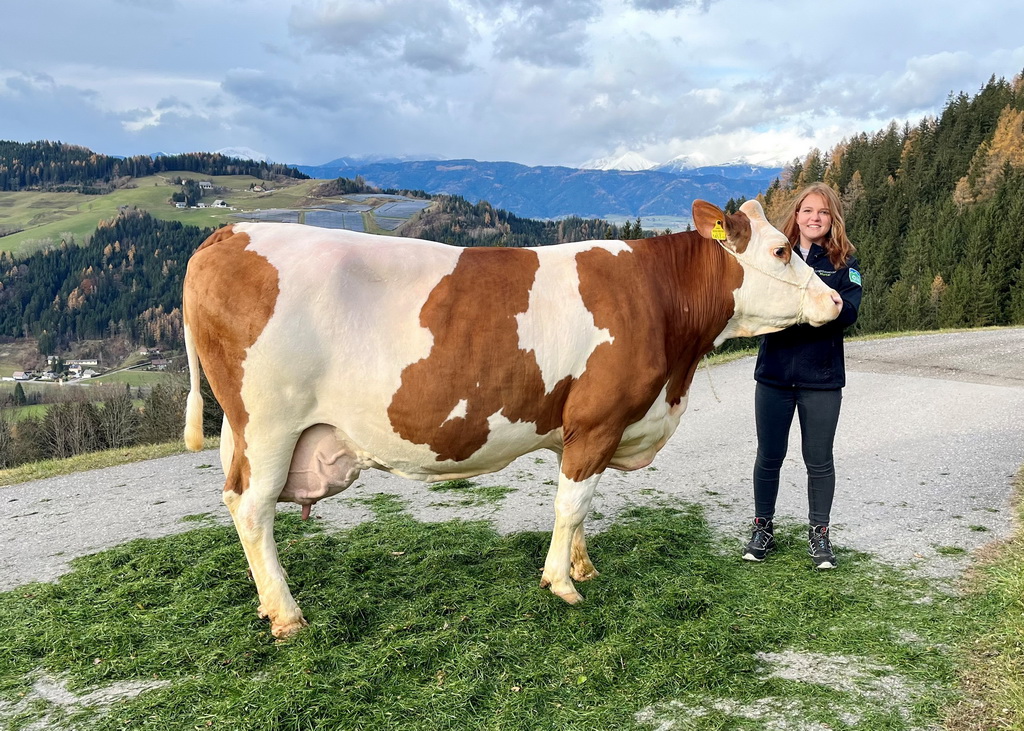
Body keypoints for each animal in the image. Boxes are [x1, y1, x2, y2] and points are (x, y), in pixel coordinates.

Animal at [184, 196, 839, 634]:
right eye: (782, 249)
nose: (835, 299)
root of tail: (228, 233)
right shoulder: (599, 419)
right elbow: (571, 503)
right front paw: (562, 584)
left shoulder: (580, 428)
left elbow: (581, 504)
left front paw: (581, 565)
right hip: (269, 422)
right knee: (253, 507)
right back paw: (287, 614)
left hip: (245, 430)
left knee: (236, 499)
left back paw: (266, 600)